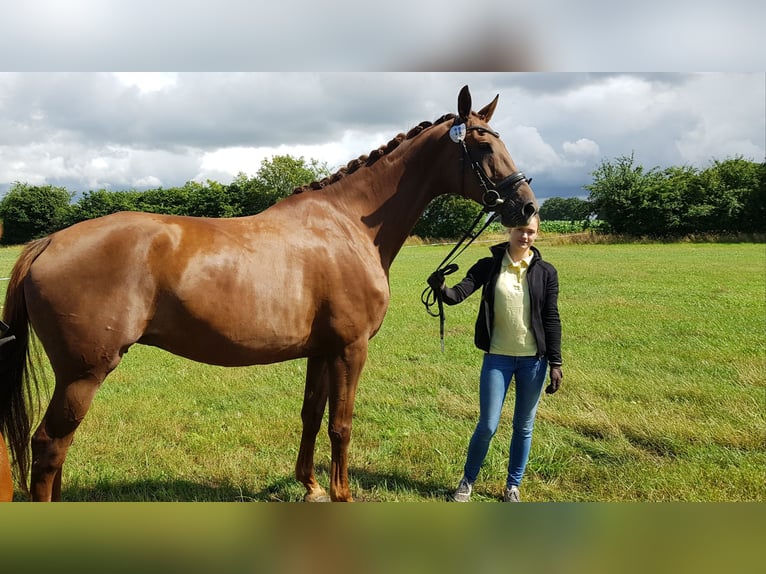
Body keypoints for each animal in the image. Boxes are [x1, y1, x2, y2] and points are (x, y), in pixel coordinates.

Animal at [0, 85, 540, 504]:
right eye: (483, 146)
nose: (528, 208)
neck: (349, 224)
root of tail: (48, 242)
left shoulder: (322, 351)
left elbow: (312, 416)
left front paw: (312, 486)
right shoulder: (350, 349)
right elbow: (341, 424)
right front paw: (341, 494)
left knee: (58, 451)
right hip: (83, 373)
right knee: (49, 447)